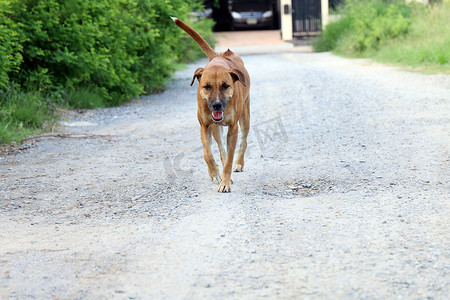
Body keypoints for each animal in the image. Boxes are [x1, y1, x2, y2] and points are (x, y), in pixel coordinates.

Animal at [171, 18, 250, 192]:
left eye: (225, 86)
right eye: (206, 86)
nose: (217, 105)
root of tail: (220, 55)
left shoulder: (233, 128)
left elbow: (229, 159)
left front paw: (225, 182)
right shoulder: (205, 126)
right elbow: (208, 153)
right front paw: (214, 173)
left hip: (245, 117)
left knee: (243, 141)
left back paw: (239, 164)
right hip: (216, 129)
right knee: (221, 149)